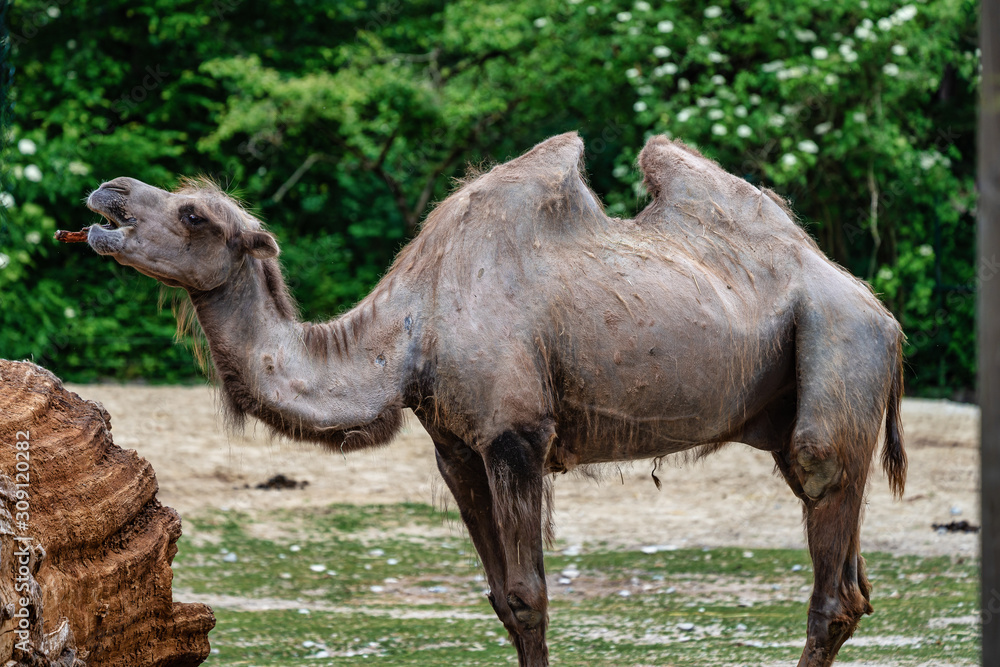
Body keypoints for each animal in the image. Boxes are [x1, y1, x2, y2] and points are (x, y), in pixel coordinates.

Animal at [80, 132, 906, 667]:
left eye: (195, 214)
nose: (108, 192)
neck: (408, 333)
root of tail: (882, 313)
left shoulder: (516, 435)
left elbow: (531, 593)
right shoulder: (455, 446)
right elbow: (504, 599)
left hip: (839, 346)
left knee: (829, 554)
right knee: (854, 582)